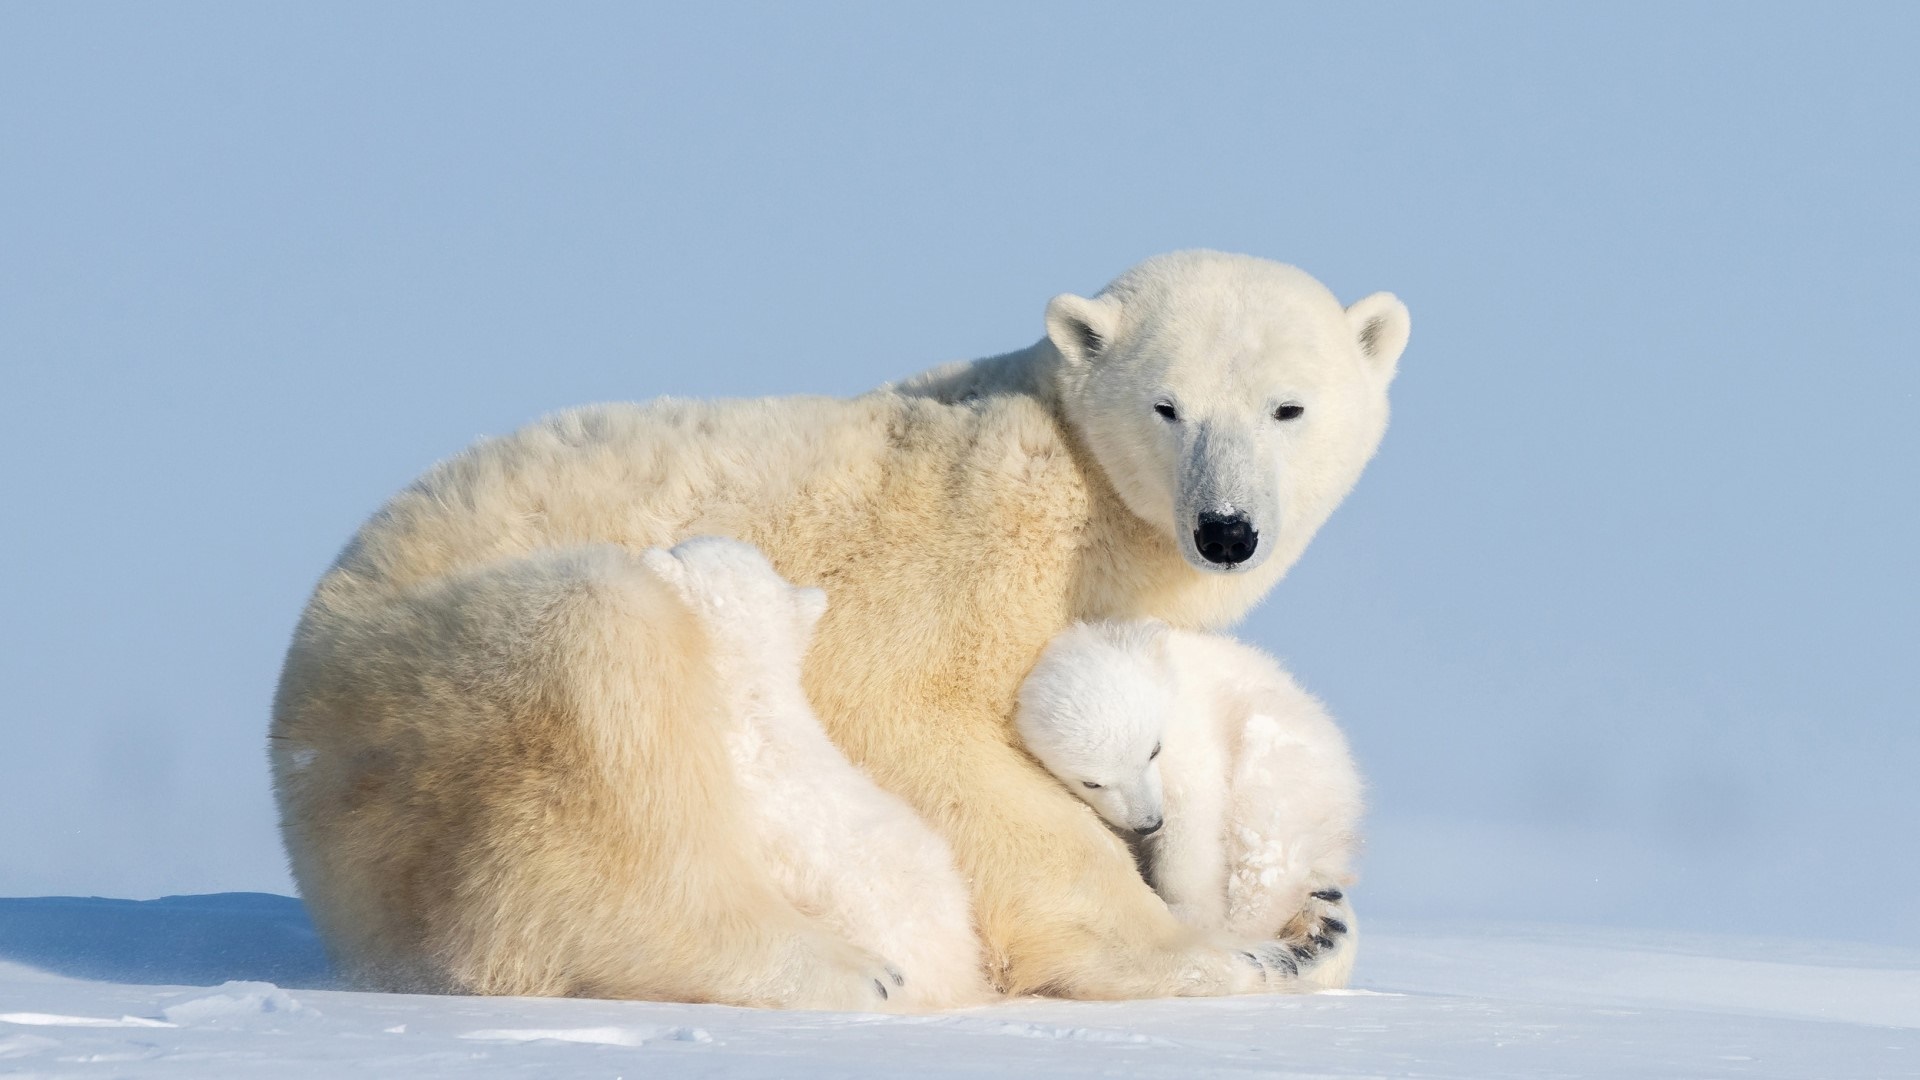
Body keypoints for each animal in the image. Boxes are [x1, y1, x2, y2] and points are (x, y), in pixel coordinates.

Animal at [1014, 620, 1364, 991]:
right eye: (1091, 782)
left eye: (1153, 750)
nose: (1149, 822)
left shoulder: (1191, 735)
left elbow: (1193, 820)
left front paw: (1189, 912)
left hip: (1284, 767)